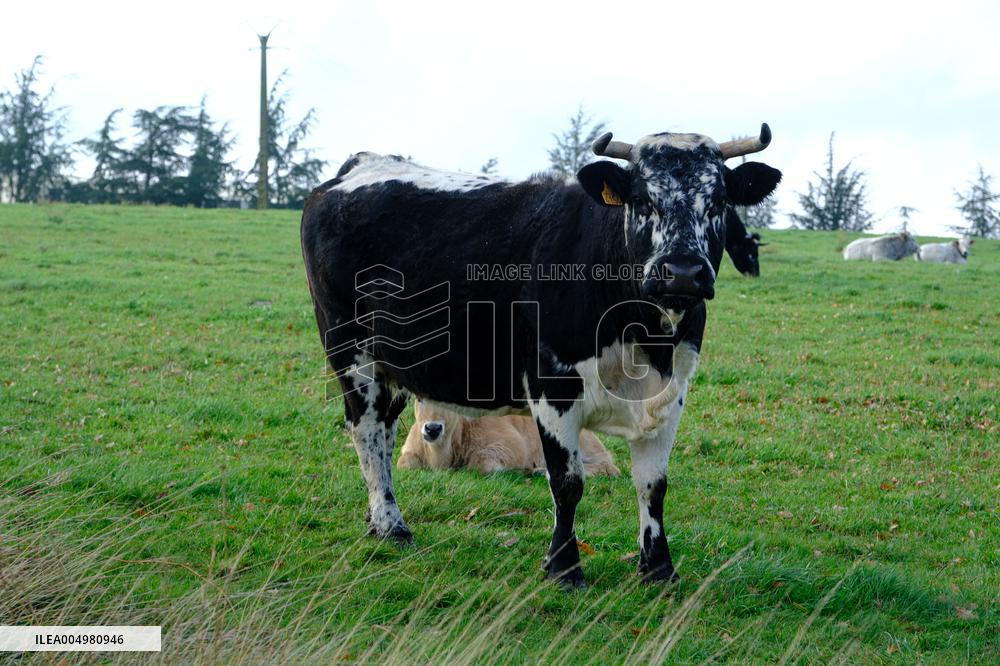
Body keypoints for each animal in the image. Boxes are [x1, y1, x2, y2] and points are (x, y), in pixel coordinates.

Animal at [399, 401, 620, 476]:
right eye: (419, 399)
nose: (433, 428)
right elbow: (405, 464)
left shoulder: (510, 446)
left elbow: (480, 465)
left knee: (609, 467)